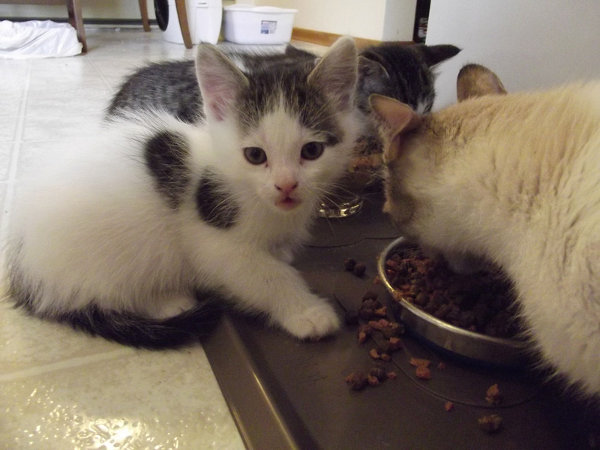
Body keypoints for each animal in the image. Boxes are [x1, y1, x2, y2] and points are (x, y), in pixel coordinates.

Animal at [7, 37, 364, 348]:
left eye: (312, 151)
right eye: (255, 155)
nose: (287, 185)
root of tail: (25, 268)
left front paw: (283, 255)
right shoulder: (213, 243)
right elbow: (265, 275)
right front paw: (307, 311)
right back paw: (168, 301)